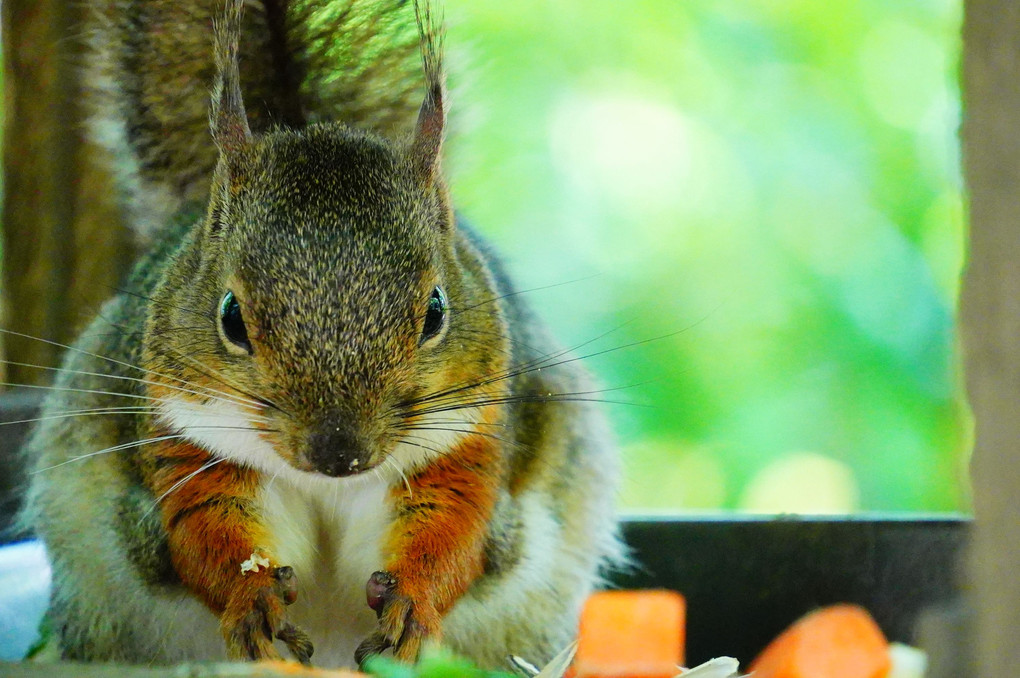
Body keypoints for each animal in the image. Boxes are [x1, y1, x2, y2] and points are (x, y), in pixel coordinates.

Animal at [21, 0, 620, 664]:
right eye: (230, 317)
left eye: (436, 312)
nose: (339, 453)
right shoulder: (186, 443)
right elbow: (207, 533)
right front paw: (250, 598)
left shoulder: (469, 444)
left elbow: (450, 534)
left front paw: (413, 603)